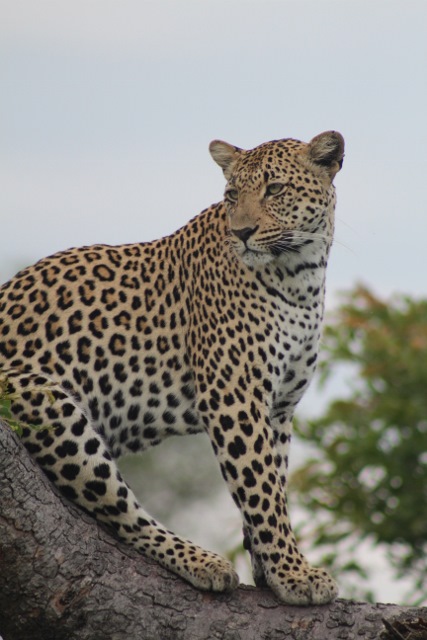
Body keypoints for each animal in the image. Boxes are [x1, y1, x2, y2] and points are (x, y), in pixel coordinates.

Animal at [0, 130, 344, 604]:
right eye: (232, 195)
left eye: (275, 189)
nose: (242, 233)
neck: (301, 275)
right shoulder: (233, 395)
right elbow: (261, 489)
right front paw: (293, 572)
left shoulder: (279, 407)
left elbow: (271, 482)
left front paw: (269, 570)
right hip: (46, 401)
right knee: (119, 511)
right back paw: (203, 562)